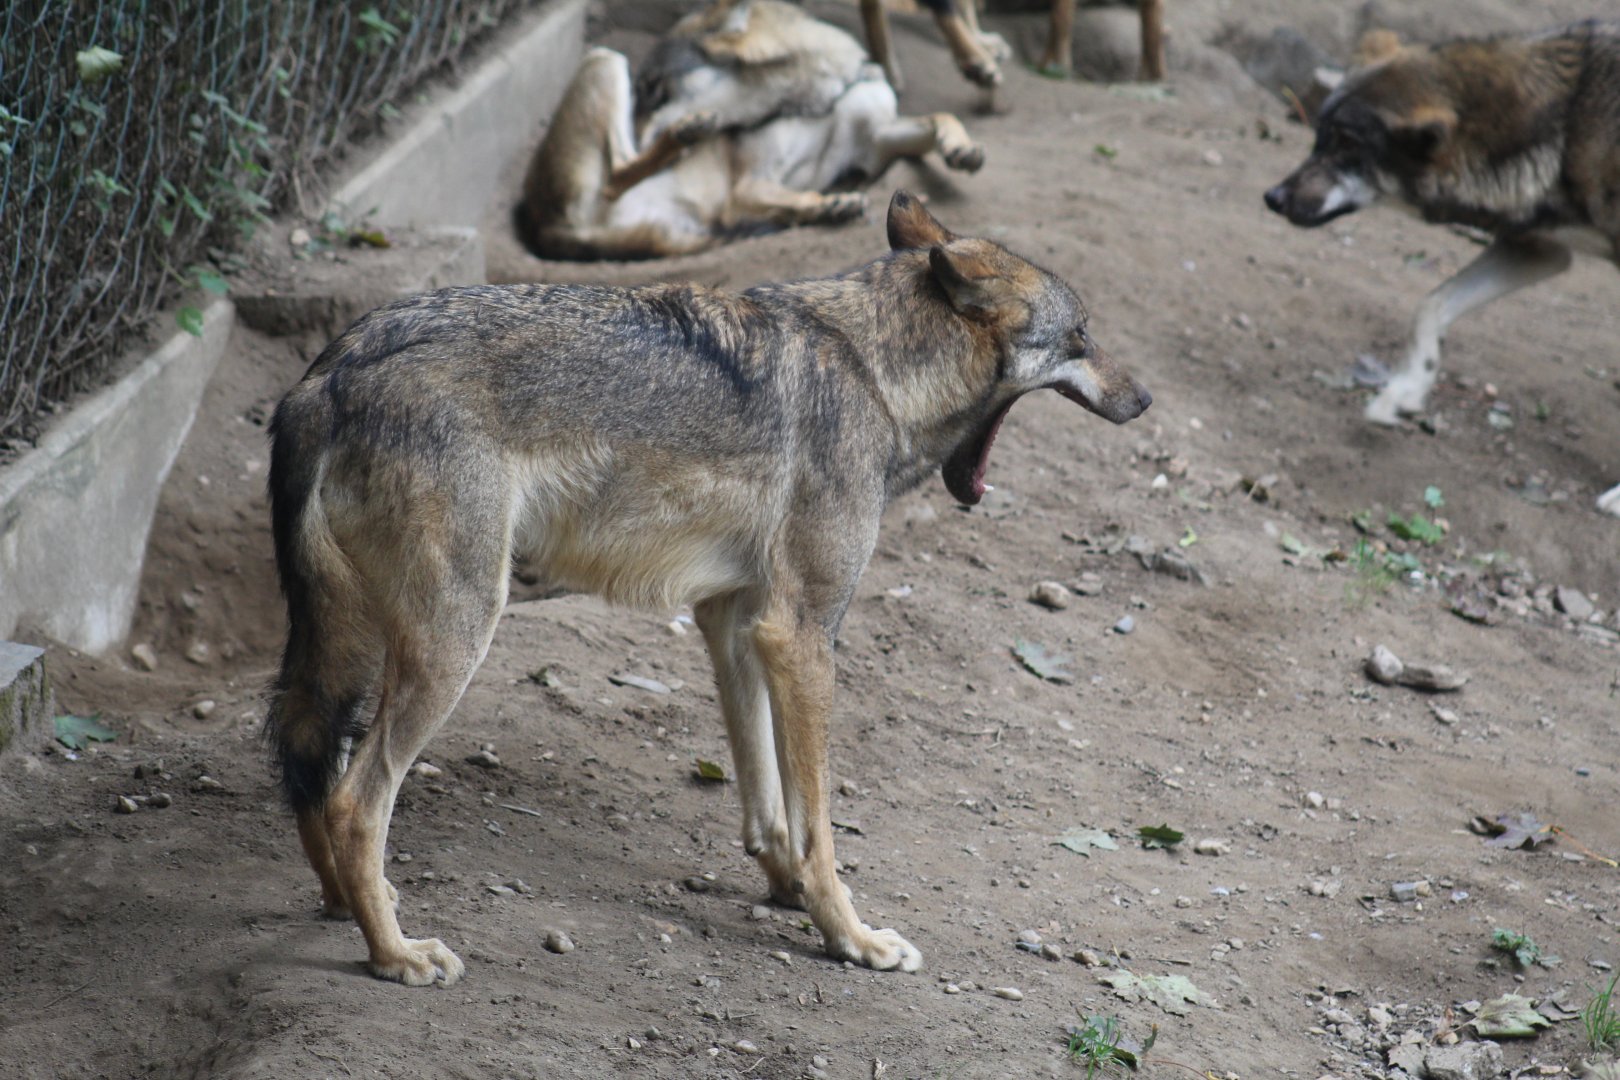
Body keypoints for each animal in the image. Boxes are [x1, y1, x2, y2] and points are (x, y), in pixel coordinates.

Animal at [266, 191, 1152, 986]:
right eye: (1082, 335)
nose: (1144, 399)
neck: (876, 371)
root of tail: (327, 372)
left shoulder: (735, 621)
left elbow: (767, 803)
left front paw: (788, 890)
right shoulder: (802, 634)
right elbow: (820, 825)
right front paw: (851, 937)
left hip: (350, 650)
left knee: (307, 766)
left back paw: (348, 907)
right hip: (455, 638)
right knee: (354, 802)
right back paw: (396, 955)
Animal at [518, 0, 984, 261]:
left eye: (655, 88)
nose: (641, 125)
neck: (822, 94)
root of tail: (542, 227)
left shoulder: (875, 141)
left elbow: (942, 117)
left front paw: (962, 150)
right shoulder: (747, 186)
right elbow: (790, 195)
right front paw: (827, 203)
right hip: (604, 57)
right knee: (617, 173)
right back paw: (689, 133)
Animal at [1263, 22, 1620, 515]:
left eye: (1347, 146)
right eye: (1318, 139)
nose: (1273, 197)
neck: (1567, 124)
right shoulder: (1538, 248)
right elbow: (1429, 306)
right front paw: (1402, 394)